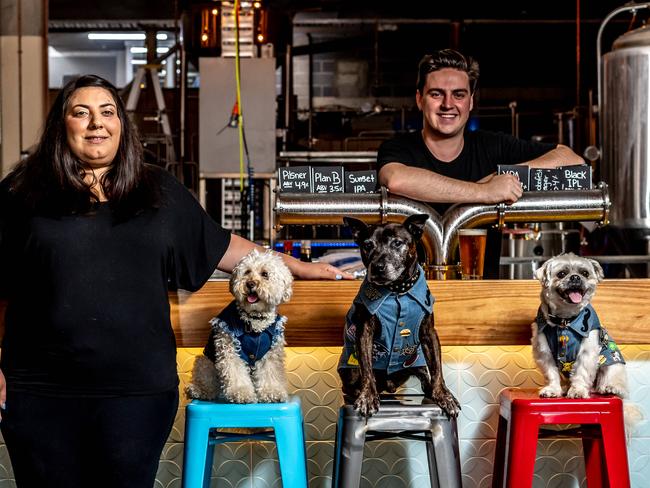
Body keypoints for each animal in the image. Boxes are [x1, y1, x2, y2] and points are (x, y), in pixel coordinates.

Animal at [185, 250, 292, 402]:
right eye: (247, 272)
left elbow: (270, 373)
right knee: (208, 383)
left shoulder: (271, 353)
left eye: (265, 274)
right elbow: (235, 372)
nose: (250, 283)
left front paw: (272, 392)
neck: (254, 320)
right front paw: (241, 393)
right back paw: (199, 390)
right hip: (205, 362)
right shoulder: (229, 348)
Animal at [336, 215, 458, 418]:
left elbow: (437, 368)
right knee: (352, 384)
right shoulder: (364, 333)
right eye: (367, 245)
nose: (377, 267)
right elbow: (367, 368)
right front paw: (367, 396)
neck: (397, 290)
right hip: (350, 369)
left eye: (397, 243)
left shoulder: (429, 333)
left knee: (425, 376)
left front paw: (444, 395)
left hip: (416, 362)